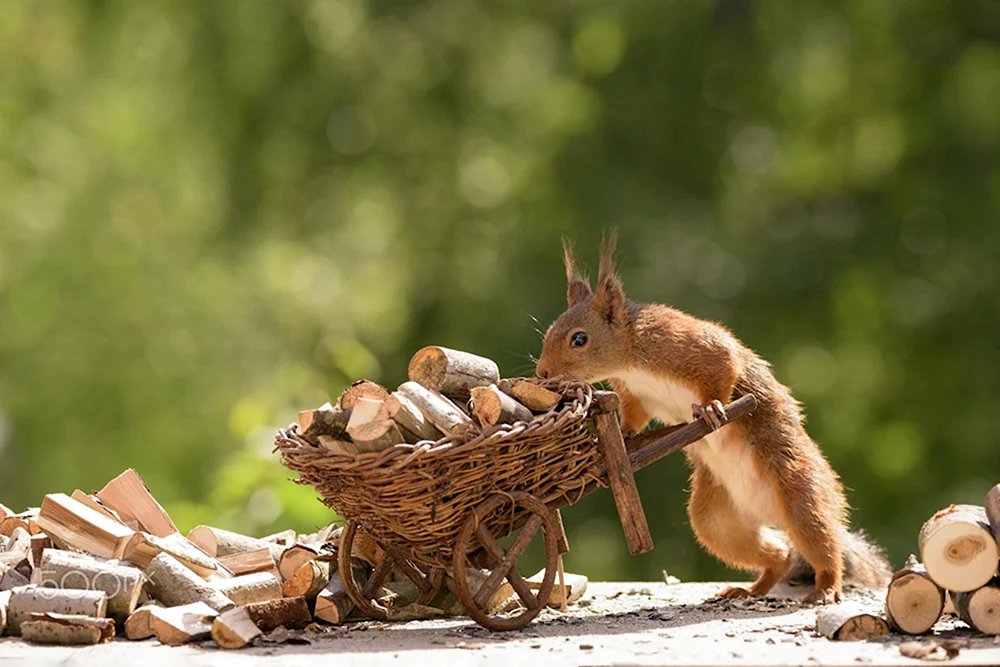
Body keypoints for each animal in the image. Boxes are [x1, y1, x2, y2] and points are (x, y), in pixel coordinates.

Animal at [536, 232, 888, 604]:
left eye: (579, 338)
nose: (542, 373)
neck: (630, 358)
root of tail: (767, 513)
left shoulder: (687, 344)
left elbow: (724, 364)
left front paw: (710, 408)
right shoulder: (633, 394)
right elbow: (635, 415)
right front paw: (626, 434)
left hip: (798, 491)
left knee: (821, 542)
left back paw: (826, 586)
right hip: (716, 521)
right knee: (779, 556)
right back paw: (748, 589)